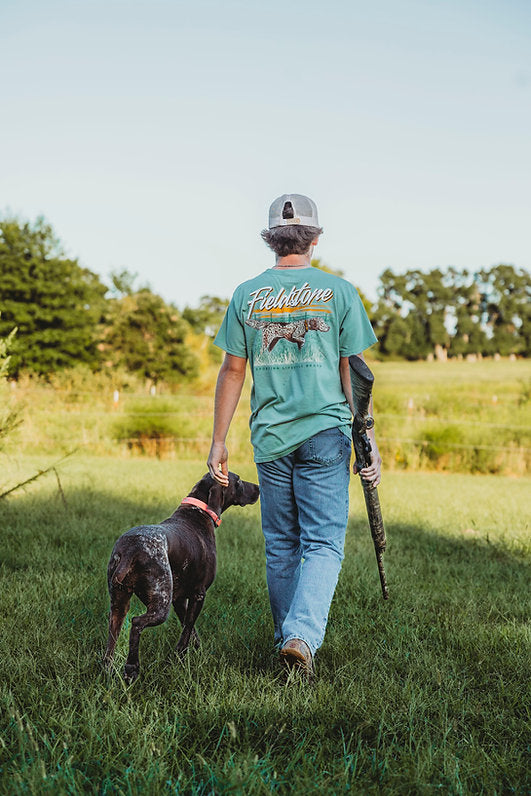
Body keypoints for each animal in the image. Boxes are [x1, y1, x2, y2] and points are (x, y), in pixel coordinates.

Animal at [103, 472, 260, 684]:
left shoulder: (178, 599)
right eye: (240, 481)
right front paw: (180, 657)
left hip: (119, 605)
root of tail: (130, 550)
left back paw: (109, 669)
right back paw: (132, 668)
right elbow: (187, 630)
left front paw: (197, 651)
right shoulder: (198, 595)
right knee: (136, 624)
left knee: (110, 646)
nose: (258, 488)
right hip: (160, 606)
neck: (198, 511)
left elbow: (190, 629)